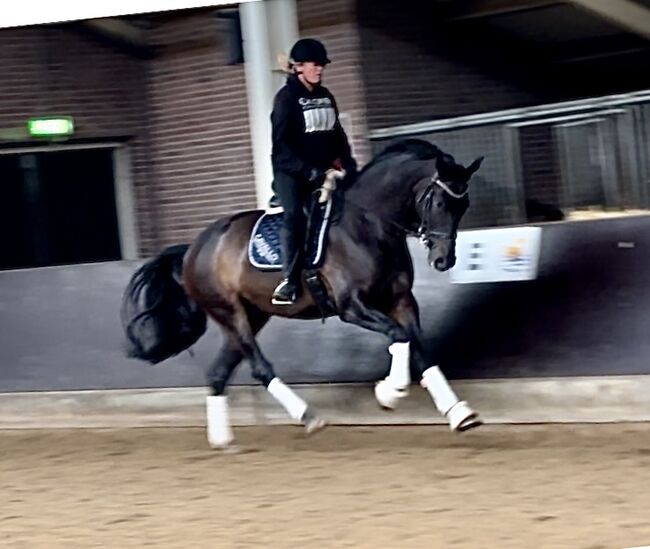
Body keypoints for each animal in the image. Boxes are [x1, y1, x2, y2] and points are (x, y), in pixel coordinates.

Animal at [124, 139, 484, 448]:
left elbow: (420, 349)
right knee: (259, 367)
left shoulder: (402, 301)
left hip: (252, 315)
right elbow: (400, 336)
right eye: (438, 202)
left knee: (218, 373)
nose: (443, 260)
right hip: (229, 312)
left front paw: (460, 414)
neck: (368, 226)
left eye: (463, 205)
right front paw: (390, 392)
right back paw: (308, 416)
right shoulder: (352, 307)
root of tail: (193, 249)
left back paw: (223, 441)